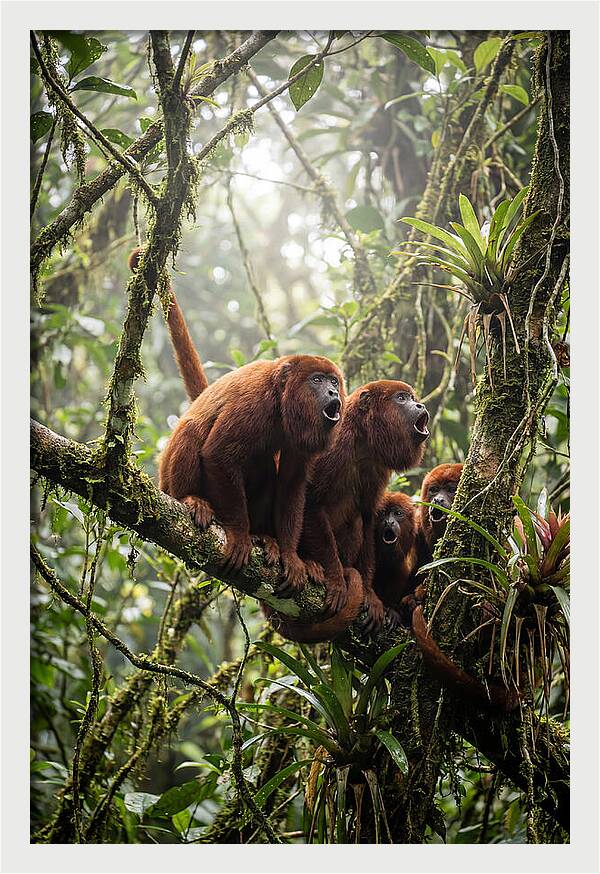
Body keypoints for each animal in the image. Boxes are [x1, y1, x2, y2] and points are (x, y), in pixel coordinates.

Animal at [128, 248, 346, 587]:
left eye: (334, 381)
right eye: (317, 381)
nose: (334, 392)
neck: (281, 402)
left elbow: (292, 483)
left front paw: (290, 555)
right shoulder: (253, 402)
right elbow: (217, 453)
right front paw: (241, 535)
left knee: (265, 467)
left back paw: (265, 538)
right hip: (168, 481)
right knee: (192, 430)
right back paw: (192, 501)